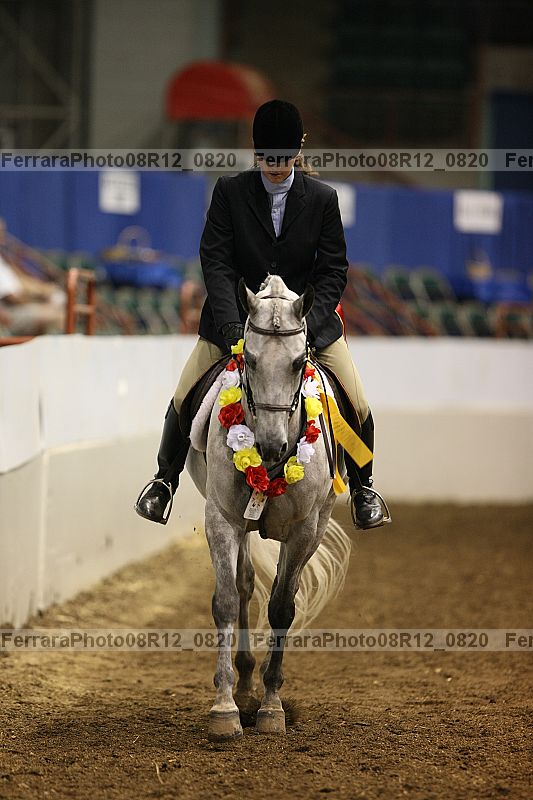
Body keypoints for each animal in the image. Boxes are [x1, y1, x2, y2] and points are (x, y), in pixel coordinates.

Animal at [187, 274, 351, 741]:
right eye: (251, 360)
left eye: (299, 362)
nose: (271, 447)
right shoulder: (222, 519)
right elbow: (226, 600)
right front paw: (224, 708)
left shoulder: (304, 530)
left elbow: (282, 607)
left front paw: (272, 708)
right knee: (244, 585)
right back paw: (243, 685)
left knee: (280, 589)